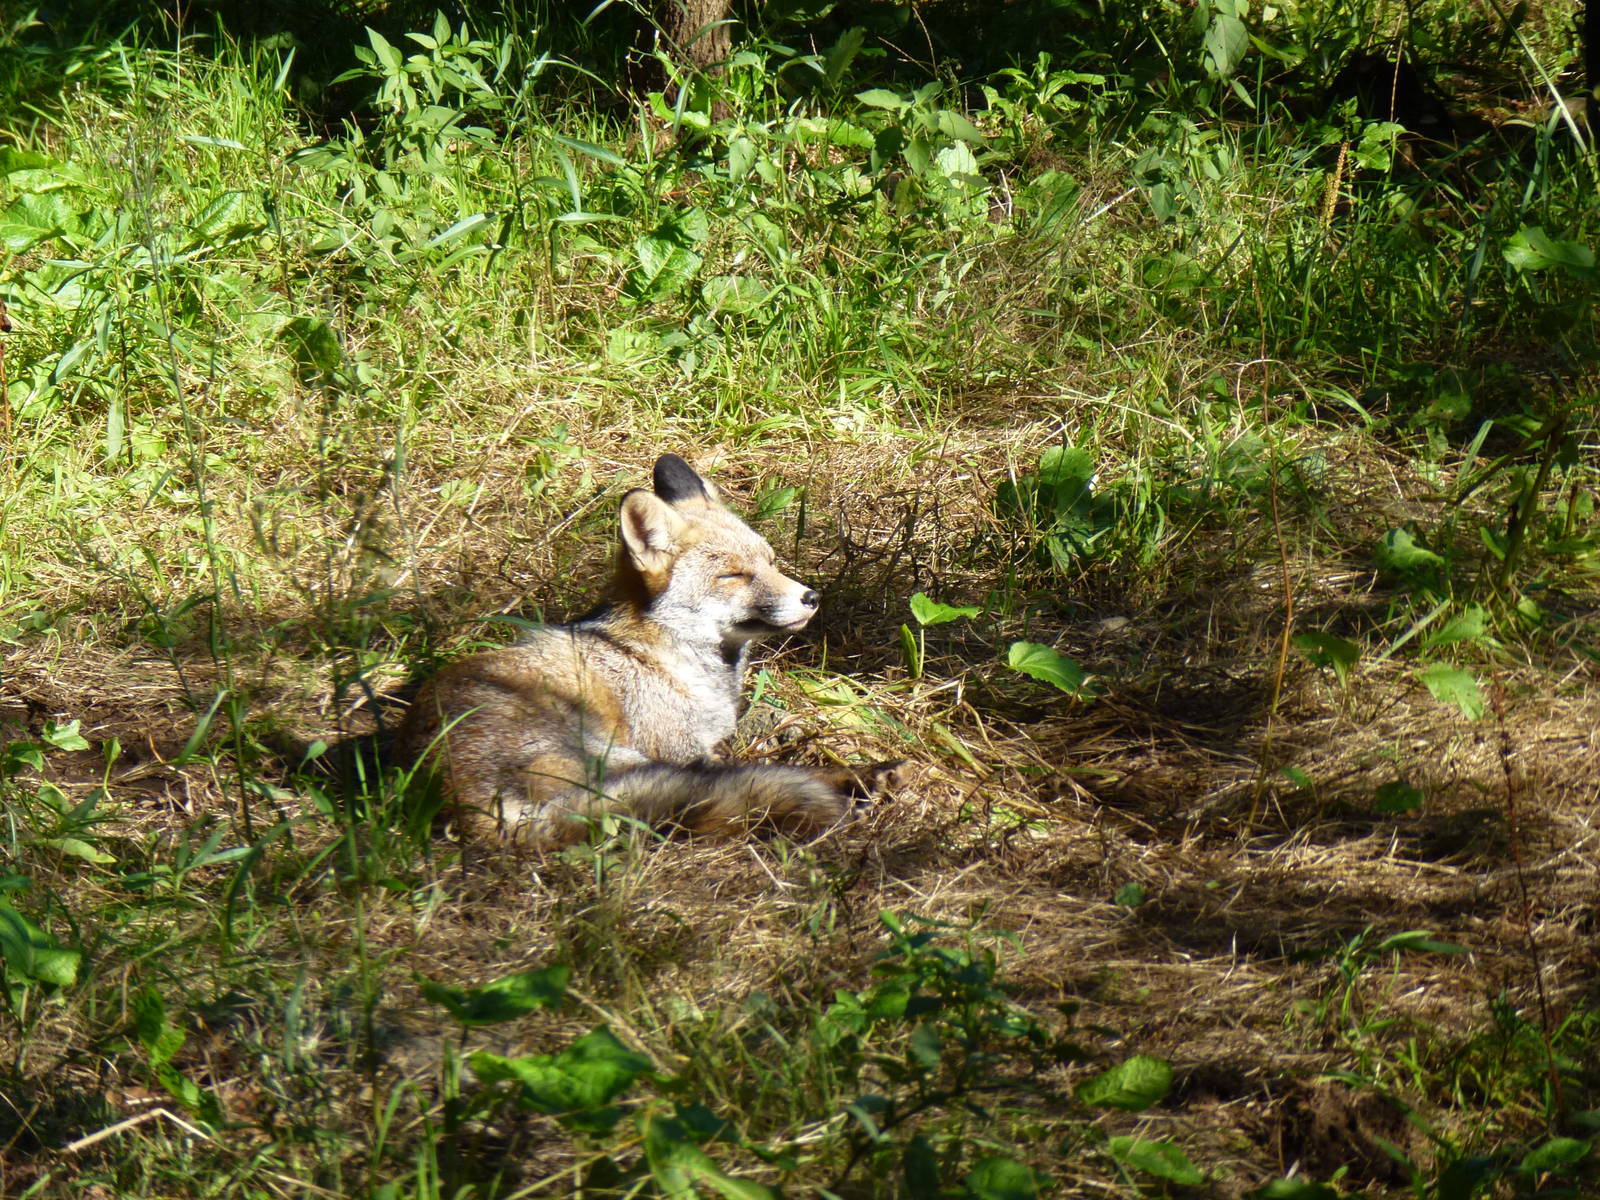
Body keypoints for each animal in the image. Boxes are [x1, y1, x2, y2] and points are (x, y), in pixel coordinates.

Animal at [394, 454, 903, 849]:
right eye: (733, 575)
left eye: (771, 563)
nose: (811, 598)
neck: (669, 658)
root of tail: (473, 805)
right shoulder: (681, 748)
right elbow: (763, 766)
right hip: (624, 757)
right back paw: (859, 781)